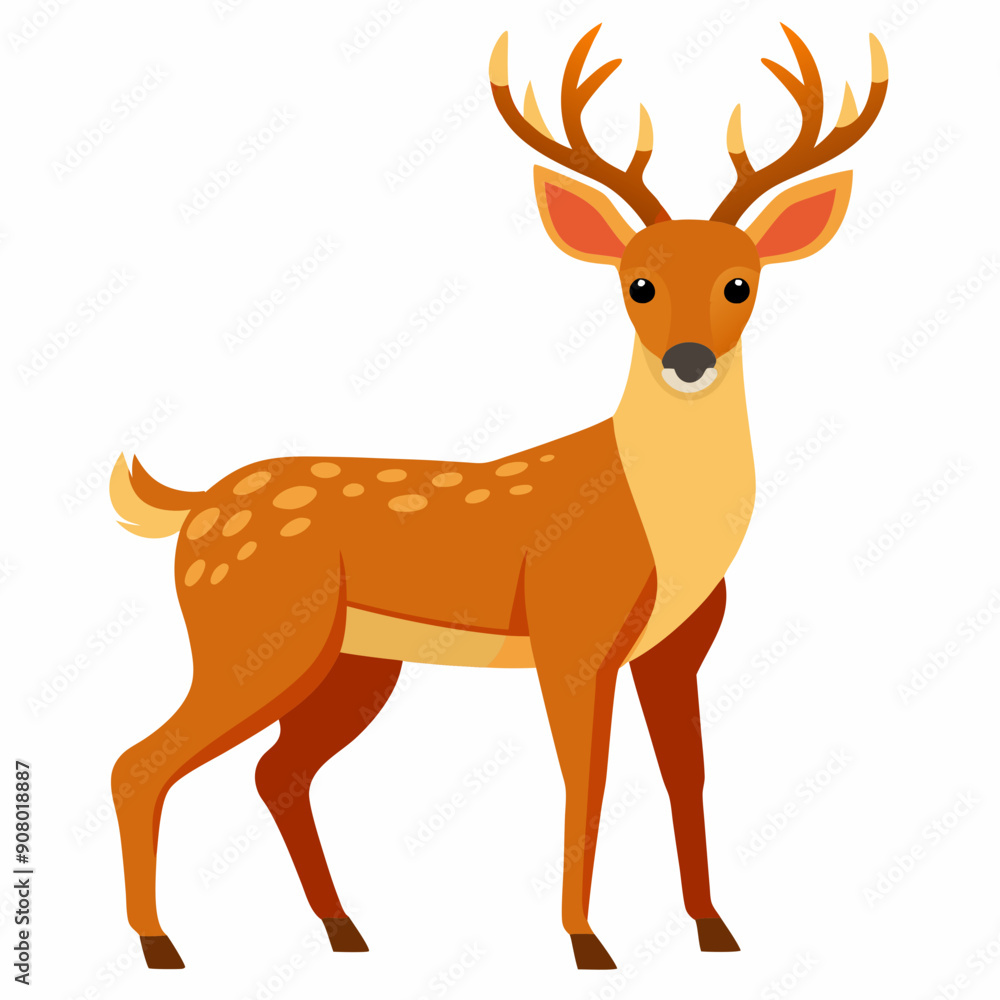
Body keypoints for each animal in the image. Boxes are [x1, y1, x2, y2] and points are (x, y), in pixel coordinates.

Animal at [109, 23, 887, 971]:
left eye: (741, 282)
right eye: (637, 283)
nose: (690, 360)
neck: (667, 530)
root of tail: (189, 508)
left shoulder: (677, 650)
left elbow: (687, 774)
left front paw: (713, 928)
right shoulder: (571, 632)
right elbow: (587, 776)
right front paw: (587, 941)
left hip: (351, 662)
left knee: (275, 771)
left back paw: (343, 931)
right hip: (250, 636)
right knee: (142, 762)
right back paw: (161, 944)